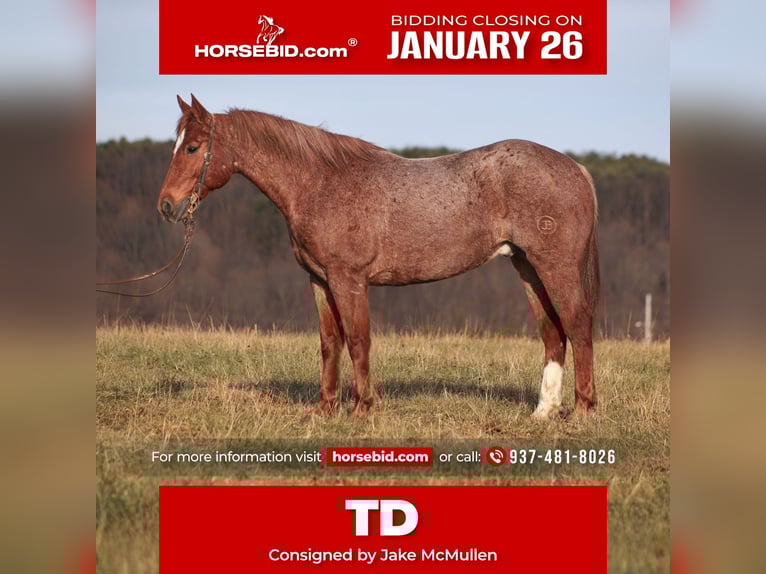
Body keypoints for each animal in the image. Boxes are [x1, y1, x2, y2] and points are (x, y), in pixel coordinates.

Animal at [158, 95, 600, 419]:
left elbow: (357, 340)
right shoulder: (320, 280)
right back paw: (543, 413)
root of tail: (577, 169)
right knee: (553, 334)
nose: (166, 205)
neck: (321, 183)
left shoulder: (348, 279)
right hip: (527, 267)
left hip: (554, 267)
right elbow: (329, 343)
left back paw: (582, 410)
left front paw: (361, 409)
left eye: (193, 147)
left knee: (578, 326)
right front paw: (325, 410)